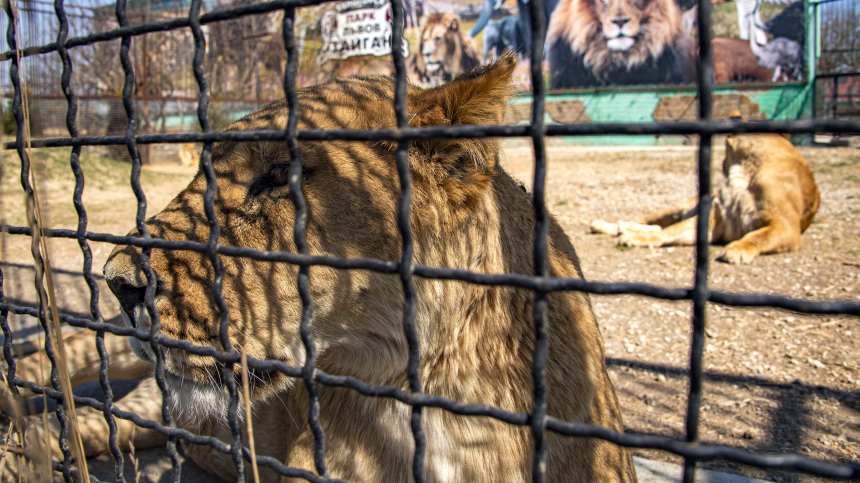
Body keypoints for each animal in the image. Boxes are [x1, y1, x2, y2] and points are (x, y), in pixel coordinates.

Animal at [592, 133, 820, 264]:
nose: (722, 164)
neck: (745, 170)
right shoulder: (715, 219)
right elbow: (670, 232)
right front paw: (634, 238)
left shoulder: (786, 227)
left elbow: (758, 236)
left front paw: (737, 249)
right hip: (678, 207)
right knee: (650, 222)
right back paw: (609, 226)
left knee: (655, 226)